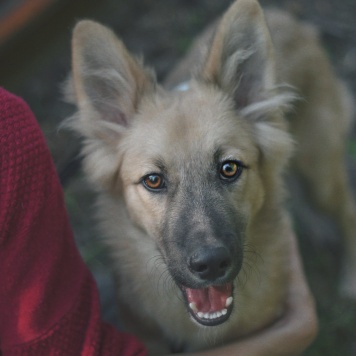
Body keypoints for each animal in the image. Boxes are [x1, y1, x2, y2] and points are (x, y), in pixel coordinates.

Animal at [65, 0, 356, 354]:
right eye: (153, 180)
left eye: (229, 168)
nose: (211, 264)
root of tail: (289, 18)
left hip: (320, 173)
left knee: (347, 210)